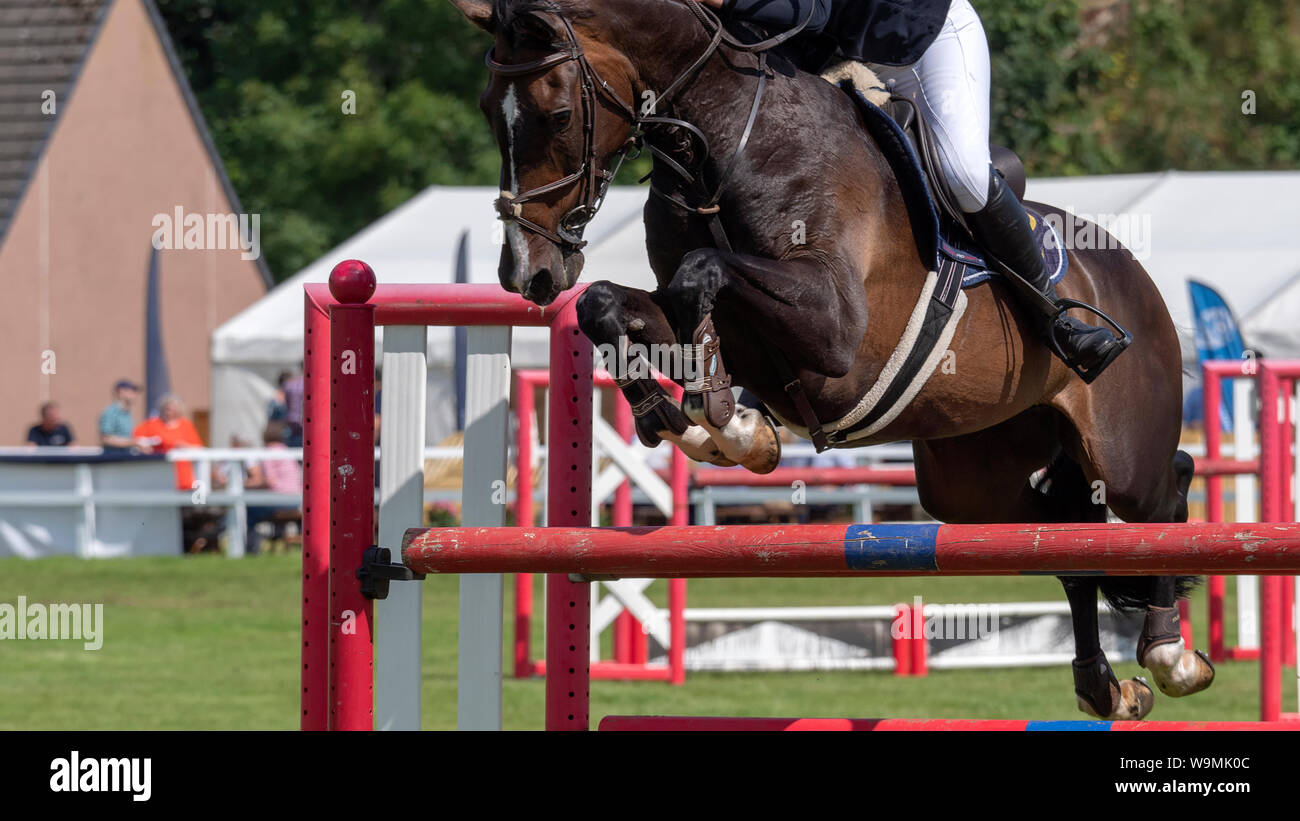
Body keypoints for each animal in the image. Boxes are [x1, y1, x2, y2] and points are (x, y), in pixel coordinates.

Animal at [452, 0, 1211, 717]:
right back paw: (1105, 686)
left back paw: (1171, 652)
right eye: (488, 109)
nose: (527, 275)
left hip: (1119, 451)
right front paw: (699, 422)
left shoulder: (835, 330)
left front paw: (728, 423)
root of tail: (1131, 272)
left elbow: (704, 271)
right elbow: (609, 304)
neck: (722, 143)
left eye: (555, 115)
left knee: (1163, 487)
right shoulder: (723, 319)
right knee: (1067, 535)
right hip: (974, 482)